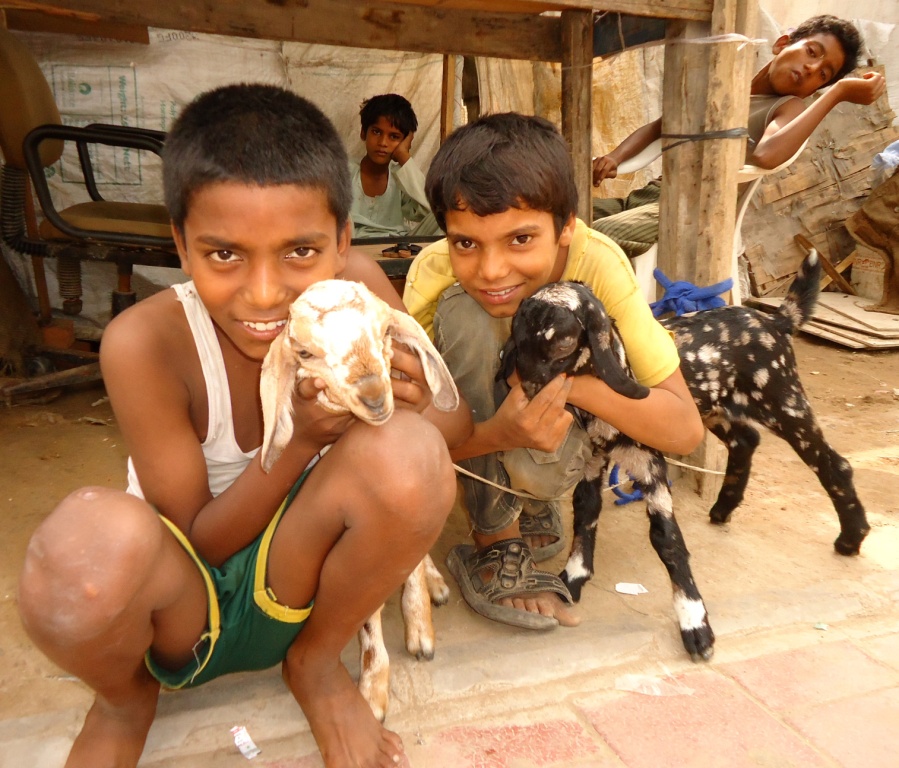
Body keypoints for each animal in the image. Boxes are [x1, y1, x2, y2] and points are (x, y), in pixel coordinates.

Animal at [259, 278, 459, 721]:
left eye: (385, 331)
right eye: (304, 352)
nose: (374, 398)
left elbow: (411, 563)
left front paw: (420, 629)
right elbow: (368, 612)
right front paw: (373, 694)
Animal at [498, 282, 715, 661]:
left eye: (563, 343)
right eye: (517, 337)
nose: (527, 390)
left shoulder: (650, 465)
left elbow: (667, 540)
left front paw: (694, 623)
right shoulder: (590, 463)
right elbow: (586, 513)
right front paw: (574, 576)